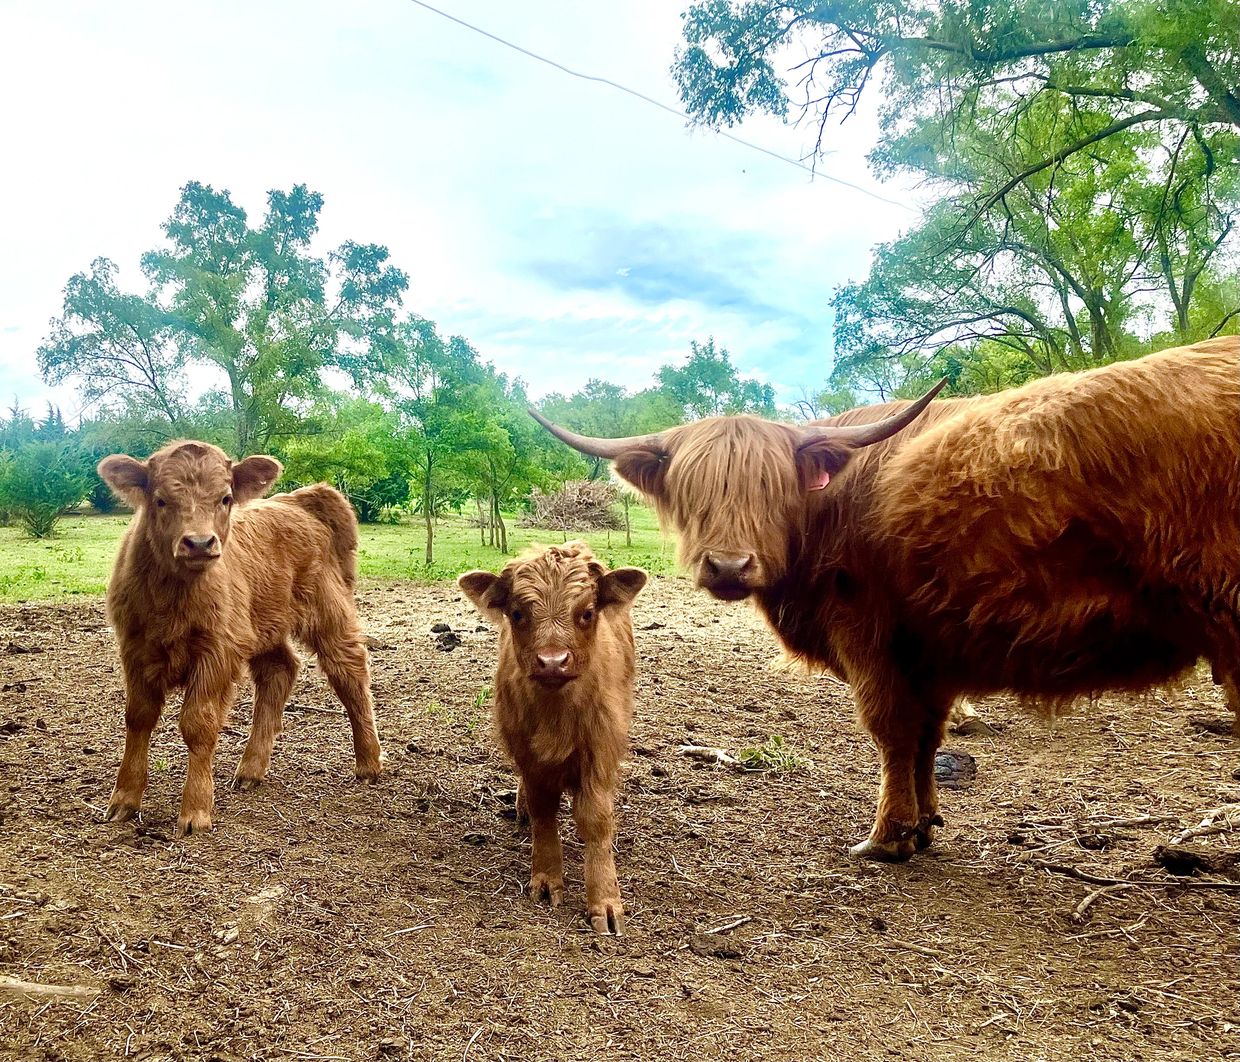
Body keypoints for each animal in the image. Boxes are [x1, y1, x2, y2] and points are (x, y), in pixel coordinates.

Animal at [97, 440, 383, 837]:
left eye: (225, 498)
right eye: (160, 499)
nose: (199, 543)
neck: (174, 595)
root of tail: (299, 500)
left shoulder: (217, 652)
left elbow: (198, 724)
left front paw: (195, 811)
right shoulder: (135, 649)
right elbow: (138, 718)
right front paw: (124, 800)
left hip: (328, 615)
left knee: (350, 674)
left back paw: (369, 763)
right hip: (264, 626)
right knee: (279, 671)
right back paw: (250, 770)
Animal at [459, 542, 647, 934]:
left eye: (587, 612)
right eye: (517, 613)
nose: (552, 661)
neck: (556, 714)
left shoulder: (600, 751)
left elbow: (596, 820)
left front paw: (605, 902)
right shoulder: (529, 756)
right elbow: (543, 811)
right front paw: (546, 879)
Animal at [530, 337, 1240, 862]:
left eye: (772, 486)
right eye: (693, 490)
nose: (729, 565)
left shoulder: (870, 633)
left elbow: (892, 730)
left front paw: (885, 838)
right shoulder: (930, 648)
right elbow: (926, 736)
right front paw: (923, 824)